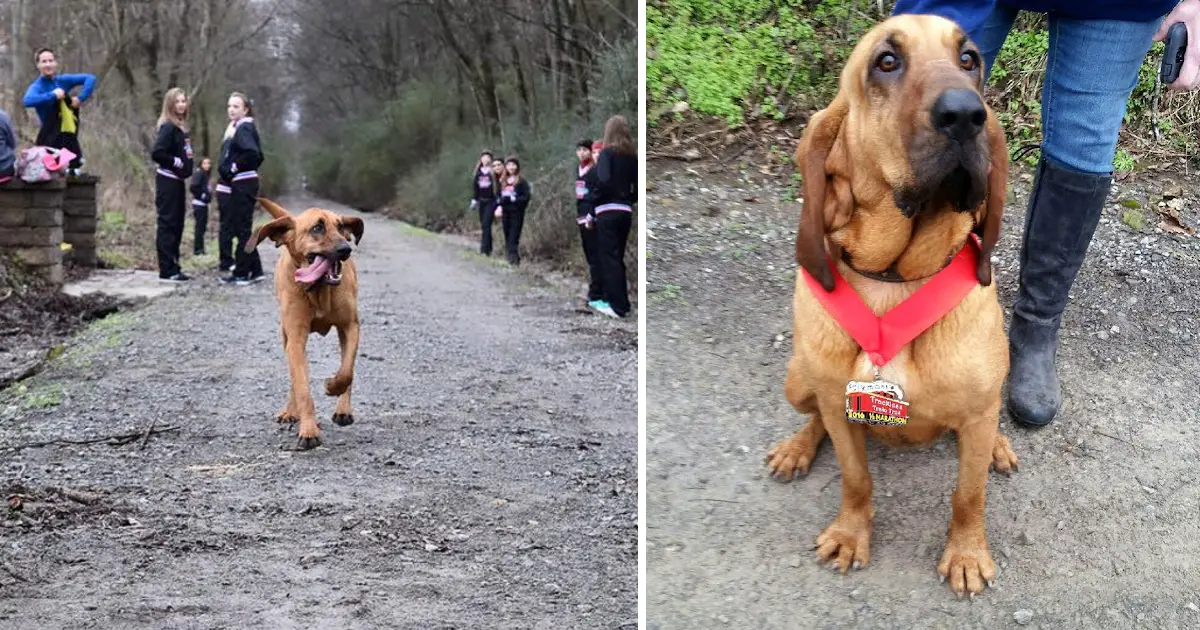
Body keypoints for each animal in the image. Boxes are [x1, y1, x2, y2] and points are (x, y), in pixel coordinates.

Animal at [246, 199, 362, 448]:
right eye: (317, 228)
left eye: (341, 227)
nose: (345, 249)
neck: (318, 290)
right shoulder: (296, 339)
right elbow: (302, 388)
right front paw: (308, 430)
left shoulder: (350, 327)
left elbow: (346, 371)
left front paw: (332, 386)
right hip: (286, 337)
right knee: (294, 377)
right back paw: (291, 411)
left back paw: (343, 410)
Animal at [768, 13, 1022, 595]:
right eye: (887, 61)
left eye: (969, 59)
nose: (966, 115)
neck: (895, 278)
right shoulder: (839, 405)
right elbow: (855, 477)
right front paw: (849, 534)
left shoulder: (976, 415)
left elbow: (968, 494)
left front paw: (967, 554)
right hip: (798, 380)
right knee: (815, 418)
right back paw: (796, 447)